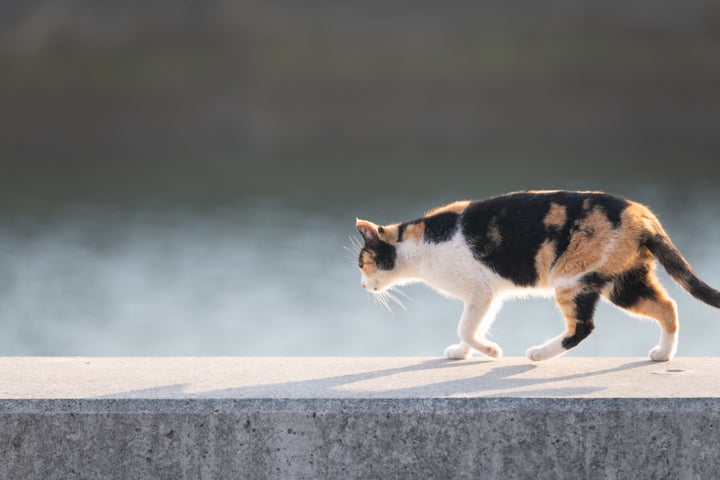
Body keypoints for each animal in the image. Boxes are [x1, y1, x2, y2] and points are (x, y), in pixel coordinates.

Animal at [354, 189, 720, 362]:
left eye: (362, 264)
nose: (361, 285)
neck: (420, 244)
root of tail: (644, 216)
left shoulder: (480, 291)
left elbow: (467, 327)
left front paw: (490, 352)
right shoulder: (490, 295)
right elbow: (474, 327)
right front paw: (462, 352)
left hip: (572, 279)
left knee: (583, 327)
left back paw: (539, 354)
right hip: (624, 282)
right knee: (669, 307)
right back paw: (663, 354)